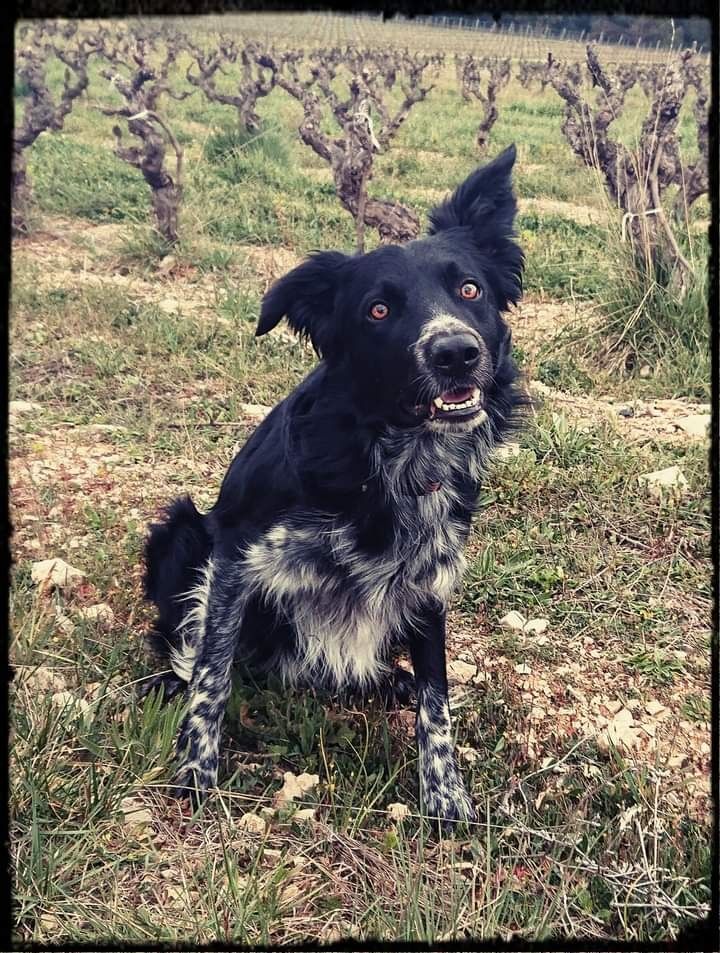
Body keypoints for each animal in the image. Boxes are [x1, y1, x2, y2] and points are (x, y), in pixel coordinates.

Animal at [142, 143, 524, 824]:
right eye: (378, 309)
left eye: (470, 289)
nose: (455, 352)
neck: (389, 455)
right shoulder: (237, 554)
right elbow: (212, 673)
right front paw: (196, 770)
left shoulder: (428, 574)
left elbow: (437, 696)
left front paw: (445, 795)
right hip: (183, 531)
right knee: (194, 648)